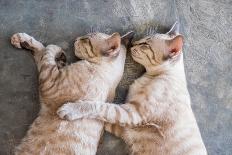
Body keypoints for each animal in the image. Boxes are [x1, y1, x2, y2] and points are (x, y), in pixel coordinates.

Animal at [57, 21, 208, 155]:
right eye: (142, 40)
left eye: (145, 44)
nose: (134, 43)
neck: (151, 76)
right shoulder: (128, 127)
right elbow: (107, 117)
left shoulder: (134, 112)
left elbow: (101, 108)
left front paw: (70, 109)